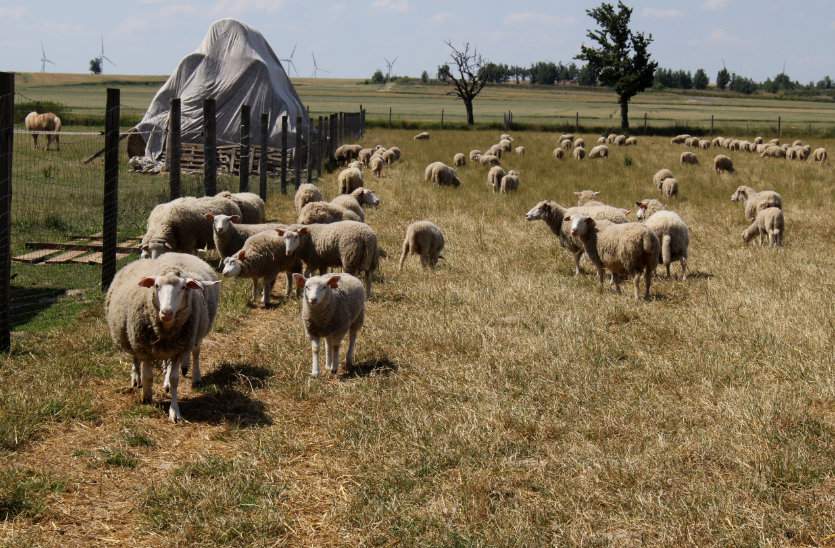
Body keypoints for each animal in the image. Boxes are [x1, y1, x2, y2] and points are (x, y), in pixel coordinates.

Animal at [104, 255, 220, 422]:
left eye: (183, 287)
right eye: (156, 285)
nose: (166, 312)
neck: (165, 330)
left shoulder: (179, 349)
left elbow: (174, 379)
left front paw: (174, 410)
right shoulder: (144, 347)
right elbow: (148, 377)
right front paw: (147, 398)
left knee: (195, 353)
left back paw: (194, 376)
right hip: (132, 336)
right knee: (135, 358)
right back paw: (136, 378)